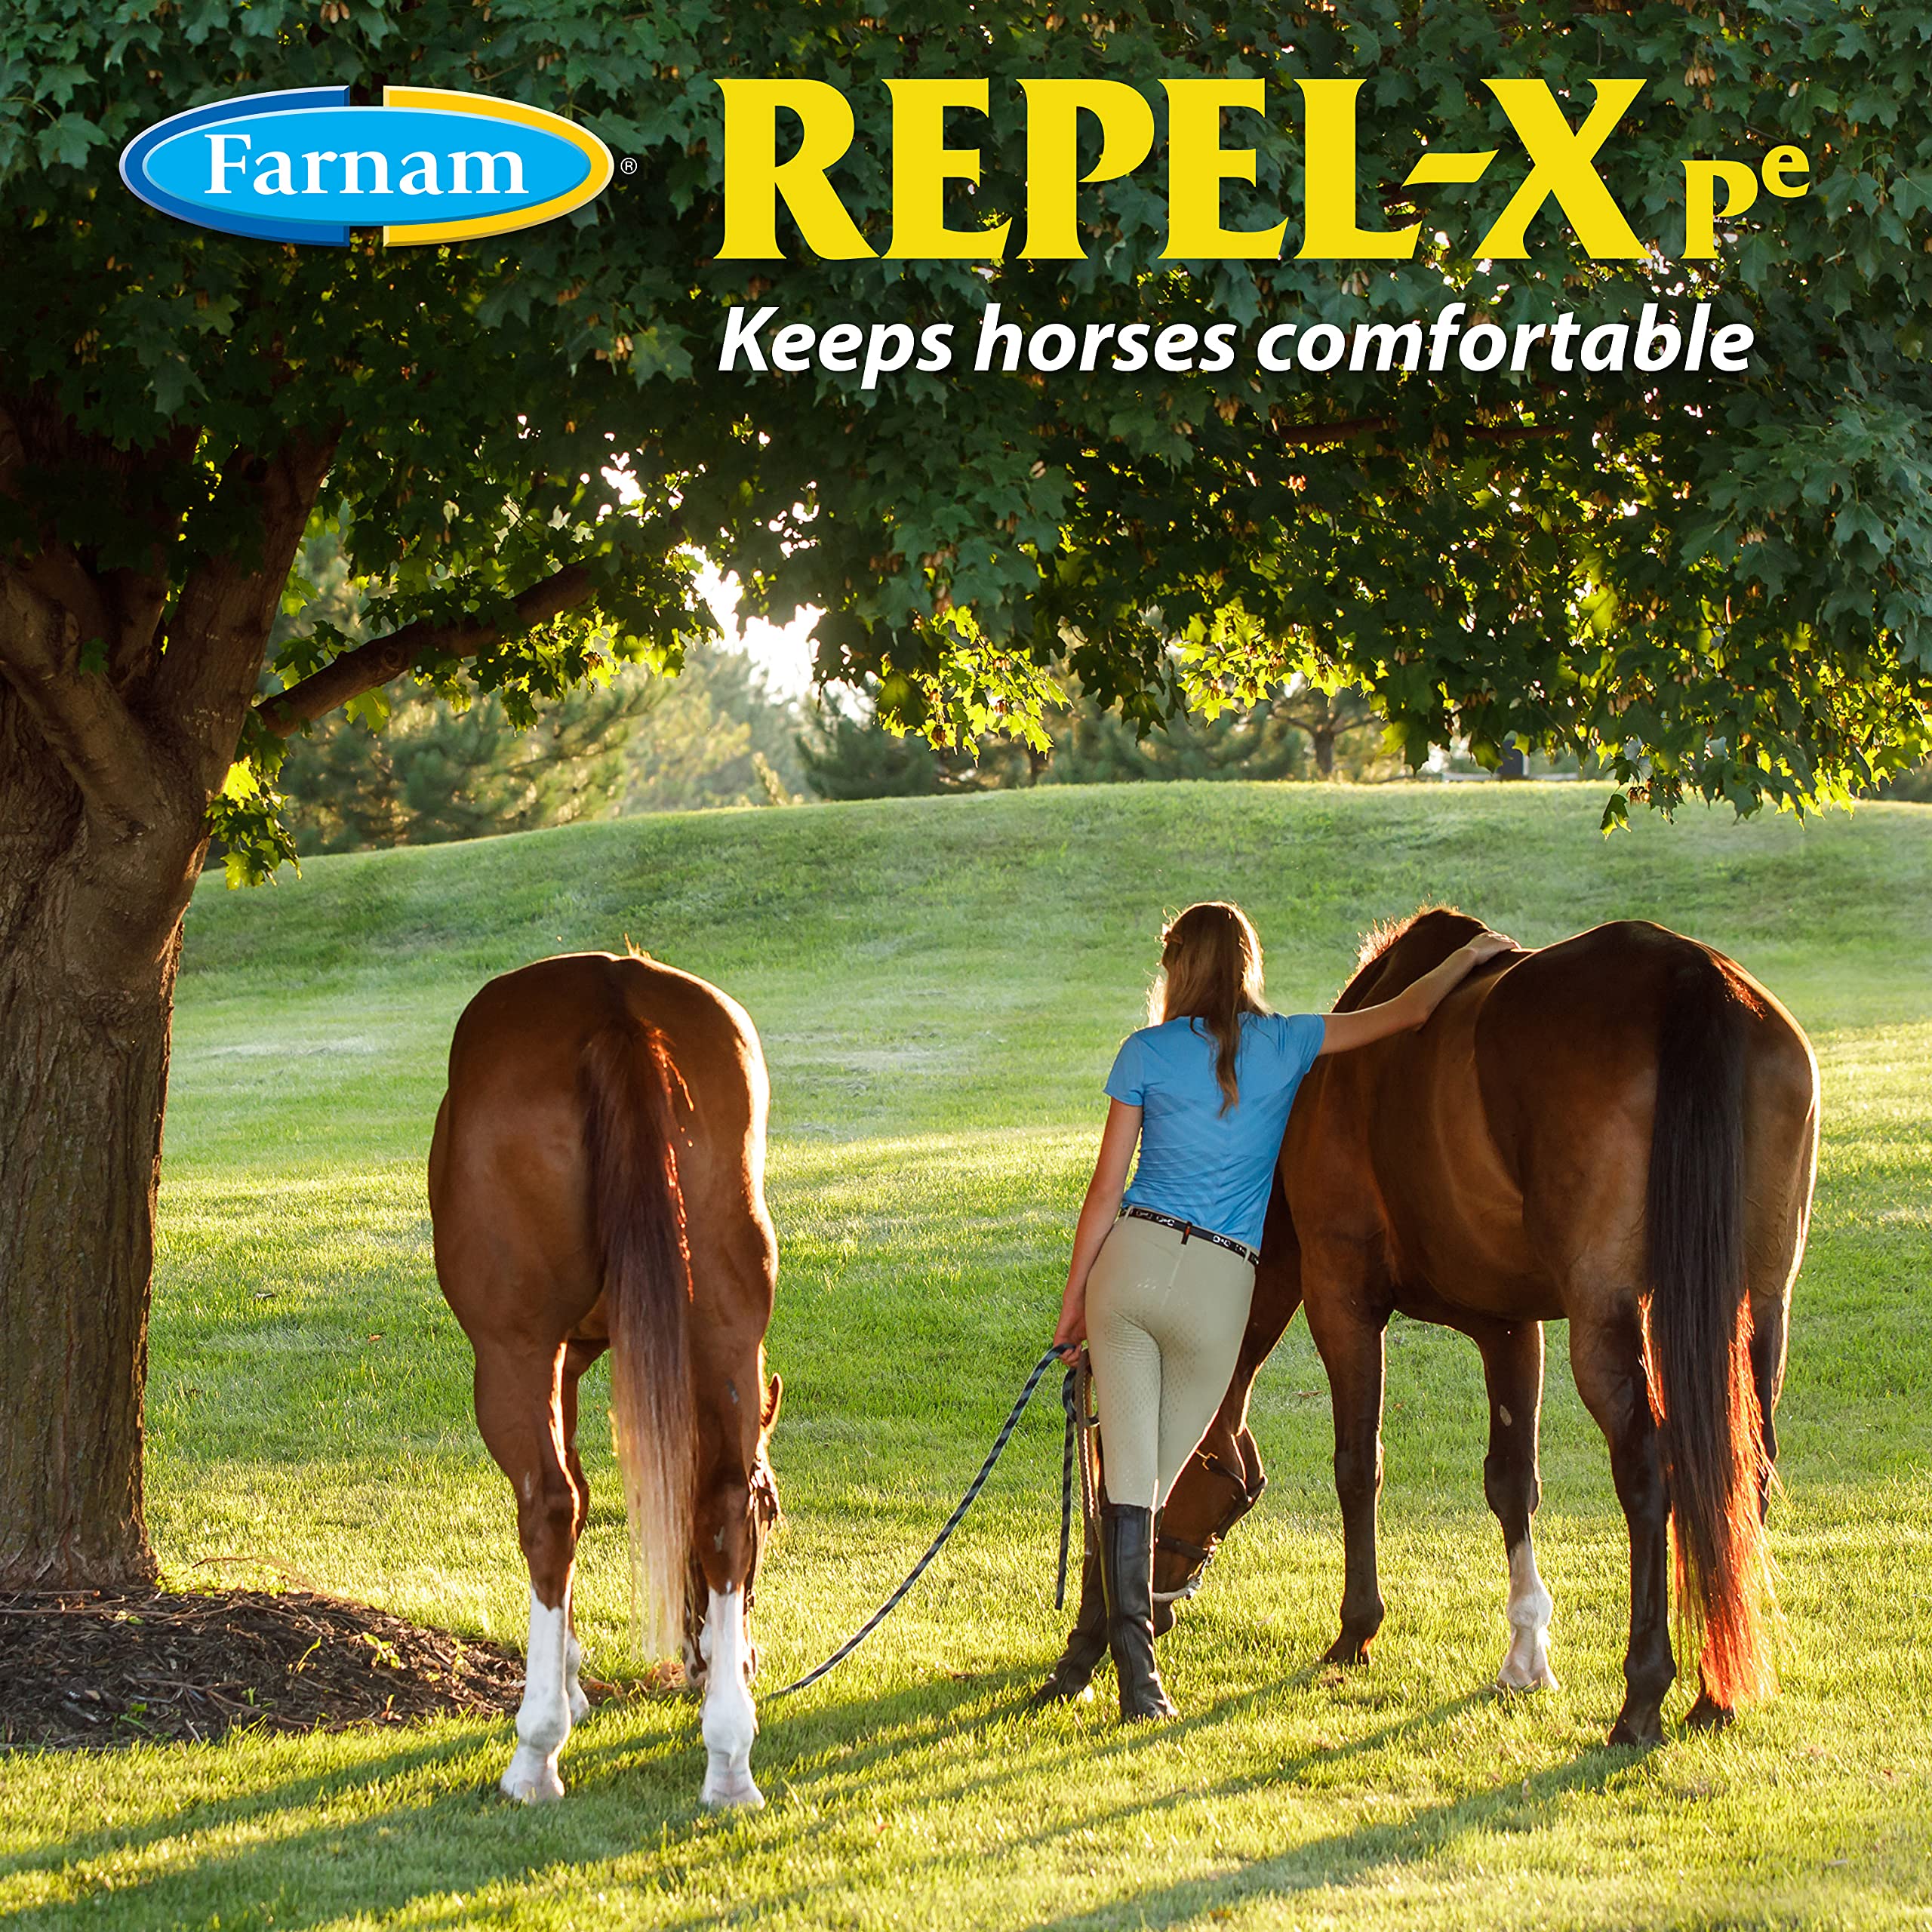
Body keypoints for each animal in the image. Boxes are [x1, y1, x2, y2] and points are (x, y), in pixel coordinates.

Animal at [428, 950, 783, 1809]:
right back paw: (729, 1756)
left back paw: (535, 1753)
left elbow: (570, 1499)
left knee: (547, 1508)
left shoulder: (551, 1351)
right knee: (717, 1500)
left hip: (512, 1352)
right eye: (775, 1523)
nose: (748, 1659)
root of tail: (611, 993)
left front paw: (564, 1683)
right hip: (727, 1327)